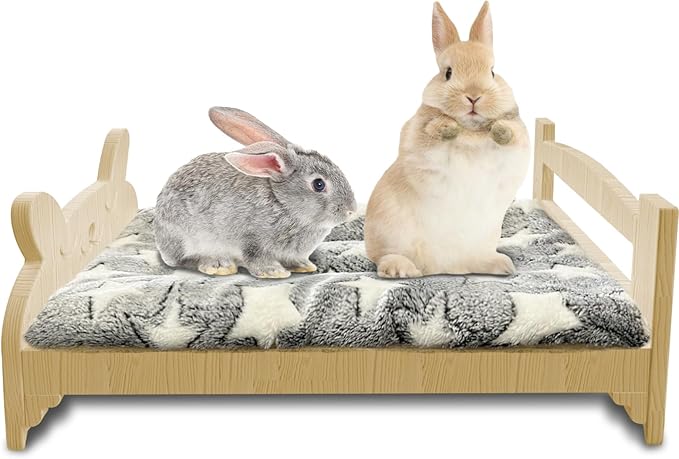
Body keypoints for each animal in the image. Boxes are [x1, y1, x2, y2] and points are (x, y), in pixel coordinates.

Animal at [154, 107, 357, 279]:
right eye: (319, 184)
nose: (351, 211)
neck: (283, 203)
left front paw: (303, 266)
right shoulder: (252, 240)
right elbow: (256, 258)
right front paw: (273, 272)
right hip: (187, 237)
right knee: (185, 260)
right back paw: (218, 265)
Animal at [365, 1, 530, 278]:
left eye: (492, 72)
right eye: (448, 73)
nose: (473, 96)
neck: (470, 129)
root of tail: (443, 267)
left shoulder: (520, 139)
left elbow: (512, 133)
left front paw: (498, 130)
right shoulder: (416, 135)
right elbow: (429, 131)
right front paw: (448, 127)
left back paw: (501, 265)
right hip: (388, 230)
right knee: (383, 257)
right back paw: (400, 269)